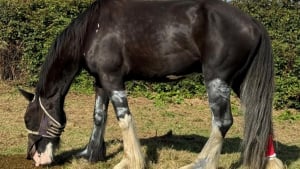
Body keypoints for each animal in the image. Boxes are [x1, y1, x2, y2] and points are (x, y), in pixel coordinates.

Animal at [19, 0, 284, 168]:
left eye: (29, 119)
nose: (33, 157)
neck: (93, 29)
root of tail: (253, 23)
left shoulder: (113, 79)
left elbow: (123, 118)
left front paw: (129, 161)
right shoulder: (101, 82)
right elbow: (99, 117)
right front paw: (90, 154)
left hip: (217, 79)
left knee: (223, 121)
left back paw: (200, 164)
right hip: (240, 81)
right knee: (261, 115)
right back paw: (271, 161)